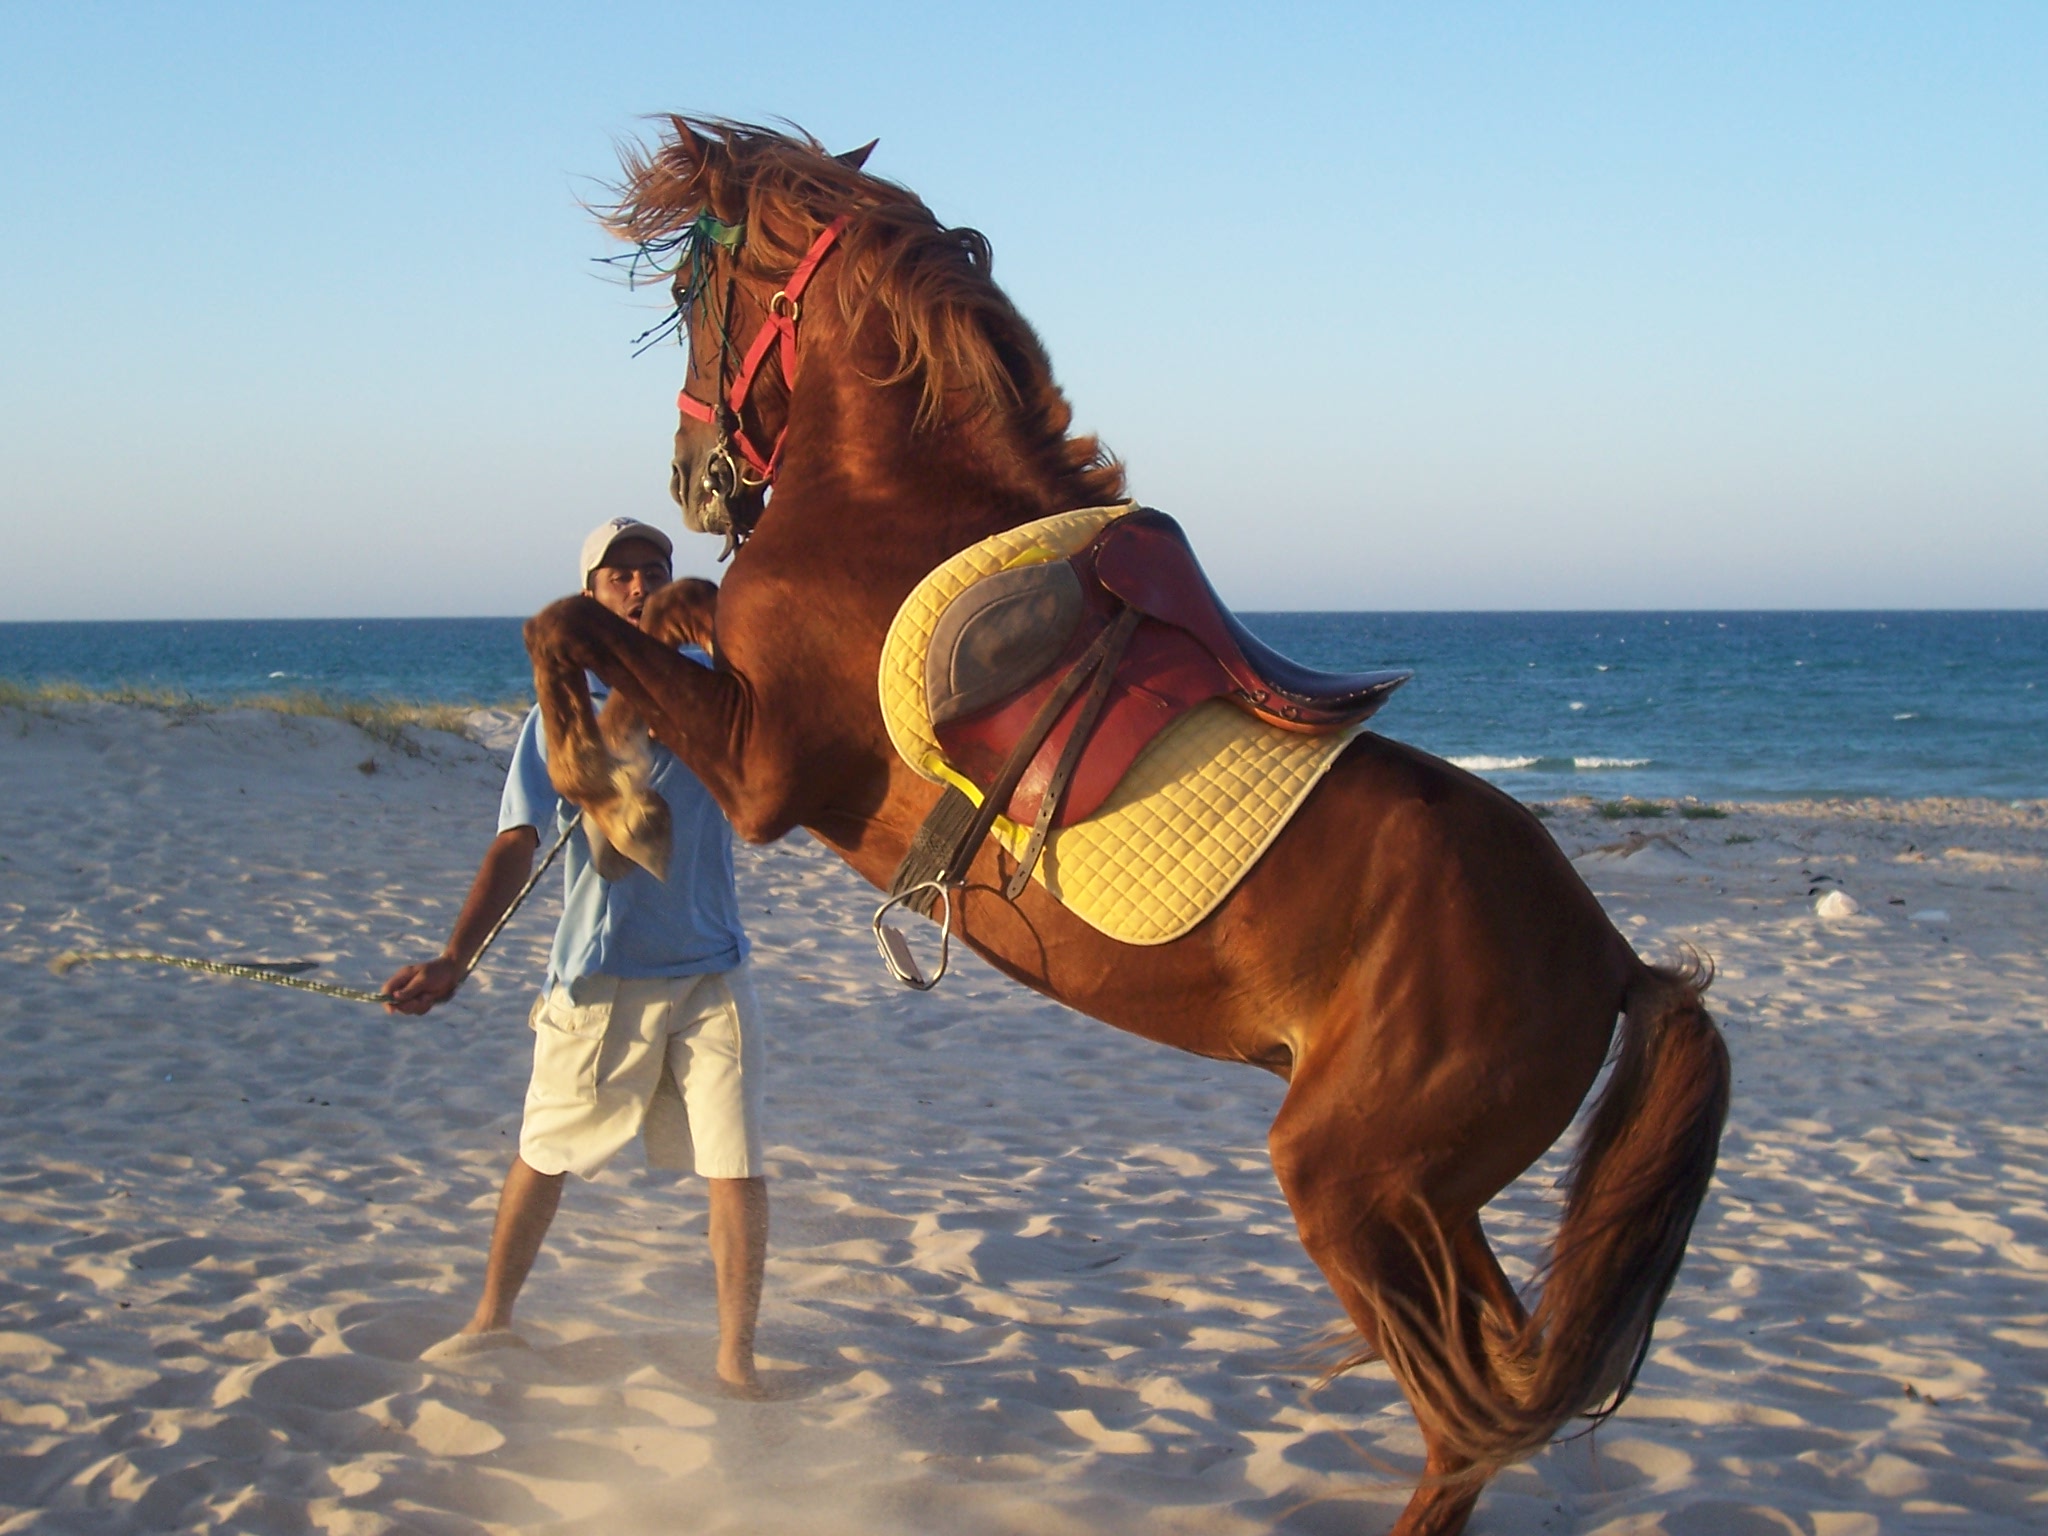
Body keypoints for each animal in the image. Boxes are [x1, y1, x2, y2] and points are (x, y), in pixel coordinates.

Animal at [523, 117, 1729, 1536]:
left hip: (1352, 1184)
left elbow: (567, 621)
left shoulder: (763, 769)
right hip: (1428, 1204)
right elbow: (649, 617)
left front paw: (600, 784)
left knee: (1465, 1417)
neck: (886, 506)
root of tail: (1610, 960)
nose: (690, 481)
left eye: (683, 290)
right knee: (1491, 1391)